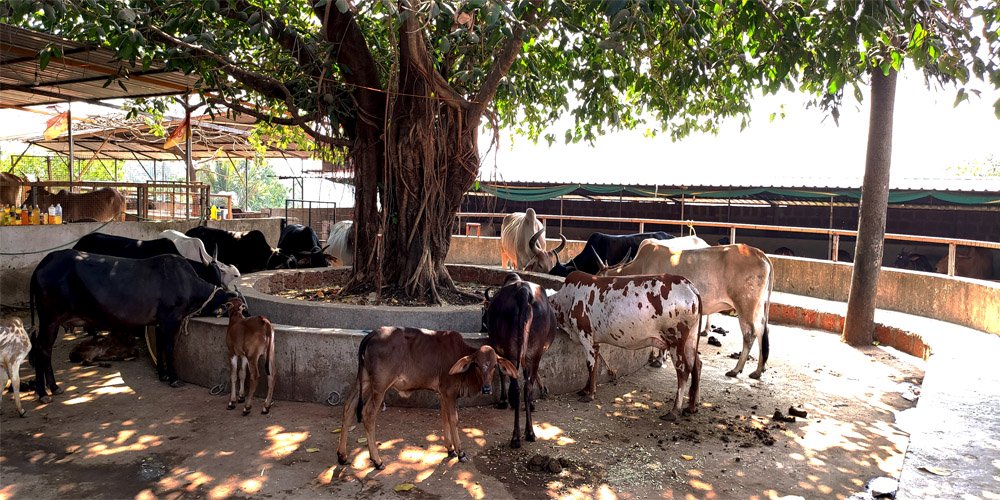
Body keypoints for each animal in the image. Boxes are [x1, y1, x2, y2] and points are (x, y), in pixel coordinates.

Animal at [29, 249, 239, 400]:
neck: (187, 283)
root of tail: (42, 264)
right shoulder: (169, 319)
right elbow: (169, 348)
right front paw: (173, 378)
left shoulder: (158, 322)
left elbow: (160, 347)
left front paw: (162, 374)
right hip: (50, 320)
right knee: (42, 349)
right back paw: (44, 392)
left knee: (44, 350)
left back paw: (52, 387)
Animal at [336, 326, 518, 469]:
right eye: (477, 365)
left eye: (494, 365)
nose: (487, 388)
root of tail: (372, 334)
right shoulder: (450, 392)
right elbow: (453, 419)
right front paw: (460, 452)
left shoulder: (443, 394)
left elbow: (445, 418)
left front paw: (450, 449)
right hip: (380, 385)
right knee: (368, 414)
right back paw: (377, 460)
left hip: (364, 380)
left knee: (348, 408)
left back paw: (342, 456)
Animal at [486, 273, 557, 448]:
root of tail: (523, 292)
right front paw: (529, 404)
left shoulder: (498, 349)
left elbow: (501, 373)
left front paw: (504, 400)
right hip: (534, 354)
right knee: (527, 386)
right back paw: (529, 432)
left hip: (513, 353)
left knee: (517, 386)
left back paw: (516, 435)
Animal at [548, 272, 703, 421]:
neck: (567, 297)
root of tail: (690, 286)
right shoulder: (595, 342)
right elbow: (595, 363)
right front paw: (586, 389)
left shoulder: (586, 336)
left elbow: (590, 365)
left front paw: (589, 395)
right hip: (691, 340)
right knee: (697, 365)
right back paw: (692, 407)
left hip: (675, 341)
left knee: (683, 370)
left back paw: (674, 411)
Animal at [599, 243, 774, 379]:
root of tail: (761, 254)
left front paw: (659, 359)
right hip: (758, 306)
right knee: (762, 330)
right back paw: (758, 370)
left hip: (745, 304)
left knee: (750, 334)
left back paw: (736, 369)